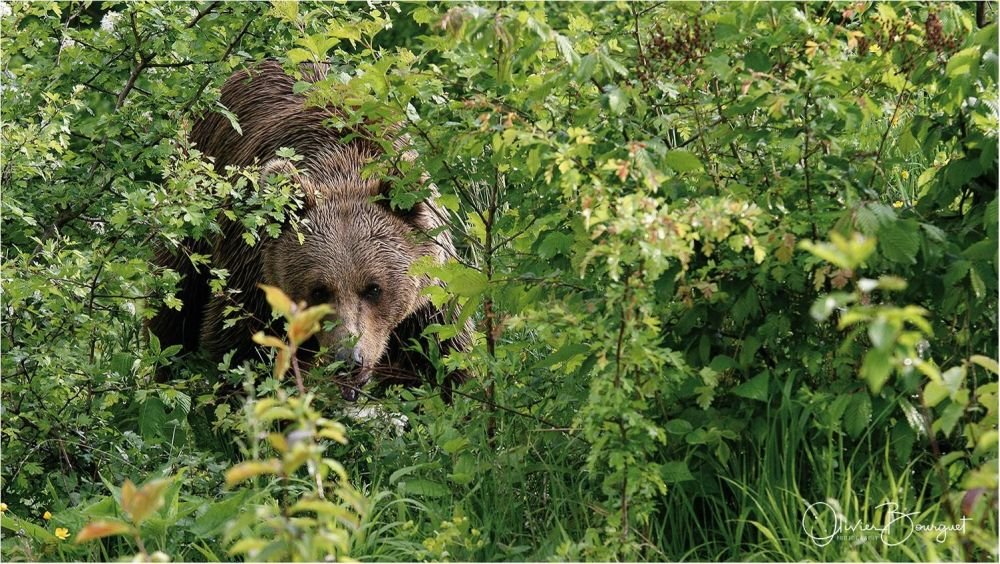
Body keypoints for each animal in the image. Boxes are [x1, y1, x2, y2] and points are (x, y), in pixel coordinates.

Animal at [150, 60, 470, 400]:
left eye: (374, 288)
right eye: (319, 290)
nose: (349, 360)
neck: (343, 166)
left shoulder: (429, 299)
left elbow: (444, 357)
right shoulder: (255, 277)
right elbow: (242, 351)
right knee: (176, 300)